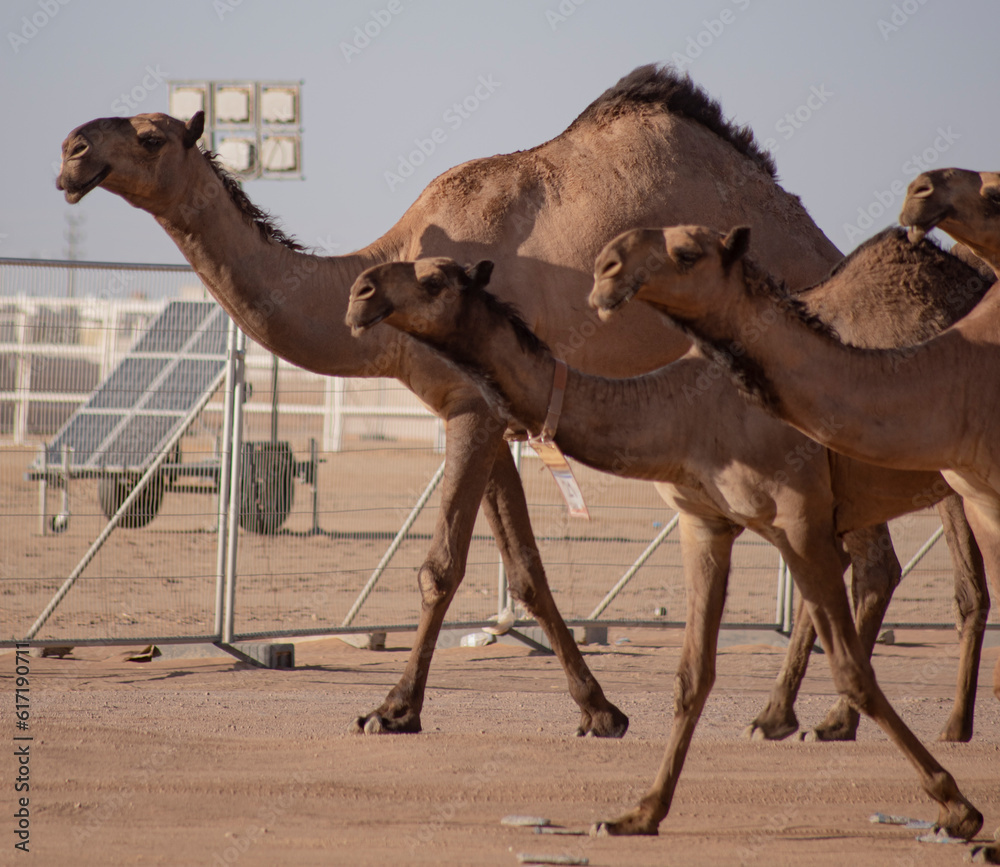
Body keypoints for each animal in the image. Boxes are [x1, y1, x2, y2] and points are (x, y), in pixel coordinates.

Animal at [54, 69, 856, 740]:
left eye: (152, 137)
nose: (72, 149)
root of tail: (826, 250)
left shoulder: (472, 411)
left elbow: (440, 564)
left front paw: (392, 709)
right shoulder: (493, 413)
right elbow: (527, 571)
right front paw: (599, 710)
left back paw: (811, 714)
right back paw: (808, 711)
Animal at [344, 251, 984, 840]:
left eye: (433, 279)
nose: (360, 291)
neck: (685, 408)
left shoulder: (799, 515)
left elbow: (852, 667)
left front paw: (957, 807)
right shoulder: (711, 522)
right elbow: (692, 674)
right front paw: (639, 812)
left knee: (937, 583)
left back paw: (929, 727)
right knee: (887, 573)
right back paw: (801, 720)